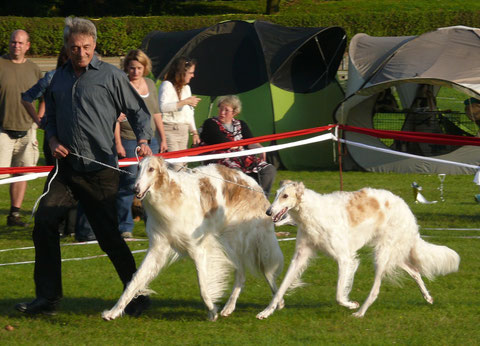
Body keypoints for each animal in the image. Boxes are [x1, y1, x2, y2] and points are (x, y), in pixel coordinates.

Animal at [101, 157, 282, 322]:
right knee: (242, 274)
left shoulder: (199, 249)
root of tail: (255, 184)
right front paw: (113, 311)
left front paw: (211, 310)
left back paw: (276, 302)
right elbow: (134, 281)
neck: (170, 196)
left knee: (265, 271)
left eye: (151, 169)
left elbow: (203, 287)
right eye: (138, 168)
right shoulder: (158, 247)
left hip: (250, 241)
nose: (135, 188)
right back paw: (230, 307)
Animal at [256, 181, 460, 318]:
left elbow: (339, 294)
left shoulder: (345, 258)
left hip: (382, 254)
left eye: (285, 196)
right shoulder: (300, 256)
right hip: (392, 254)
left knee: (376, 289)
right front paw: (266, 311)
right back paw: (427, 297)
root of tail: (407, 209)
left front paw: (350, 304)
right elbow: (281, 288)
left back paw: (360, 312)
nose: (268, 212)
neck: (313, 213)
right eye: (276, 194)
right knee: (416, 271)